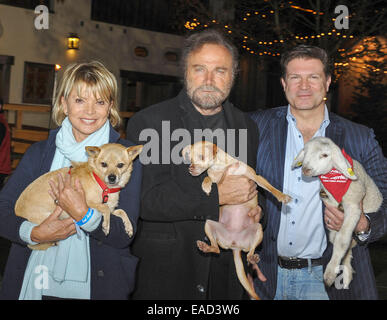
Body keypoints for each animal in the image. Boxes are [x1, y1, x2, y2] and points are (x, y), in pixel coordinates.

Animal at [292, 136, 384, 288]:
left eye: (325, 155)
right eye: (304, 151)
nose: (305, 170)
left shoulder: (353, 207)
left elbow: (341, 241)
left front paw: (330, 273)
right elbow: (337, 241)